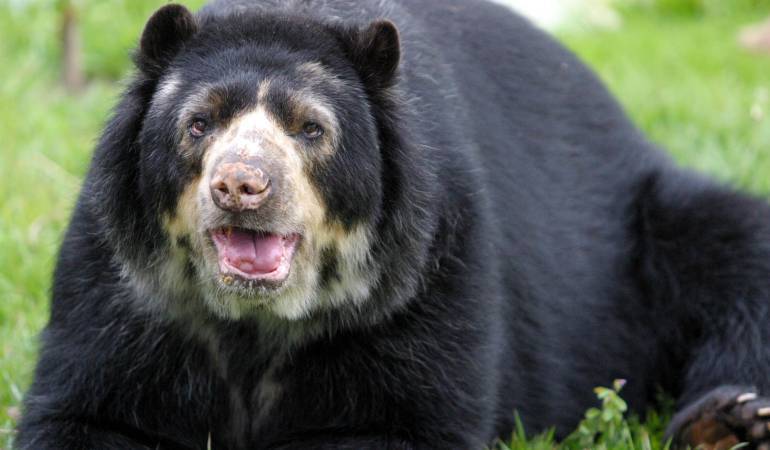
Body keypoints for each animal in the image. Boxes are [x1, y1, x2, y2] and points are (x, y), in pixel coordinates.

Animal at [15, 0, 770, 448]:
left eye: (311, 129)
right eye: (198, 123)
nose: (241, 187)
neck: (254, 323)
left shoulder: (427, 277)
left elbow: (405, 417)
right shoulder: (119, 285)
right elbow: (84, 408)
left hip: (651, 226)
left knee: (739, 257)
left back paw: (729, 421)